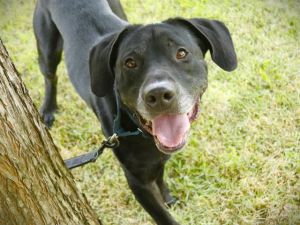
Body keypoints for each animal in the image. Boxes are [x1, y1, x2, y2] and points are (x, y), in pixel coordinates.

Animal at [34, 0, 237, 224]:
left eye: (182, 53)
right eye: (130, 62)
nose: (158, 94)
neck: (137, 129)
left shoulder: (157, 159)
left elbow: (160, 176)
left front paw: (167, 198)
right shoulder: (137, 181)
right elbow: (162, 216)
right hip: (47, 47)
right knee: (50, 76)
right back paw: (49, 109)